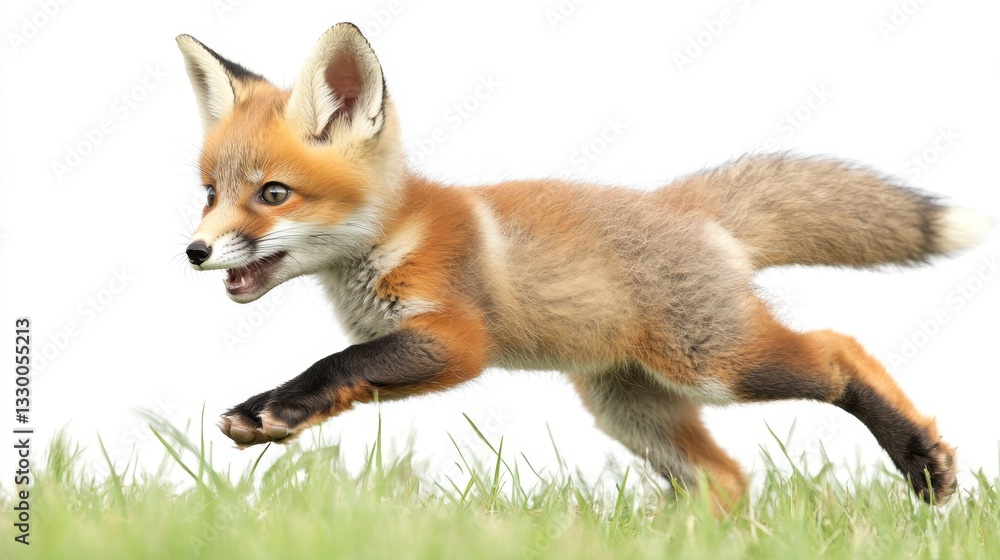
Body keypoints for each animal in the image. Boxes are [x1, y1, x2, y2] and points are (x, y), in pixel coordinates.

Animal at [177, 23, 992, 509]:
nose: (194, 251)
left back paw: (923, 461)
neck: (395, 235)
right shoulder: (413, 341)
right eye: (211, 193)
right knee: (727, 479)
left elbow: (338, 363)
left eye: (273, 194)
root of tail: (679, 204)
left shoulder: (457, 339)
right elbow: (347, 377)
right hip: (629, 408)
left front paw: (275, 409)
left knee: (837, 350)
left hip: (716, 364)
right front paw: (279, 418)